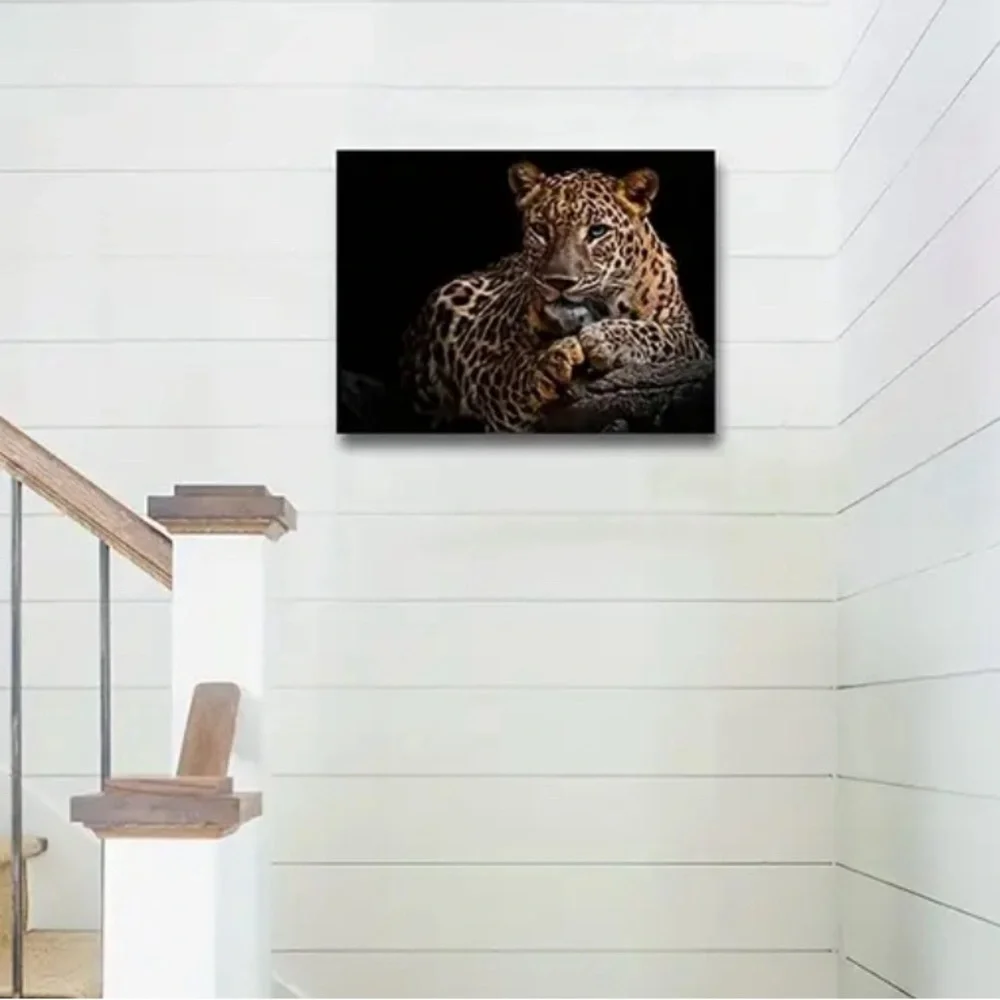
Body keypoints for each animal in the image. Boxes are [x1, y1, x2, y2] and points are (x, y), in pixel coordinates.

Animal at [400, 161, 712, 432]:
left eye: (598, 231)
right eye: (540, 229)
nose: (559, 281)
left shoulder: (694, 344)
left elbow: (660, 333)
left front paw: (605, 338)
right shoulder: (482, 359)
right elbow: (510, 371)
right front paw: (548, 364)